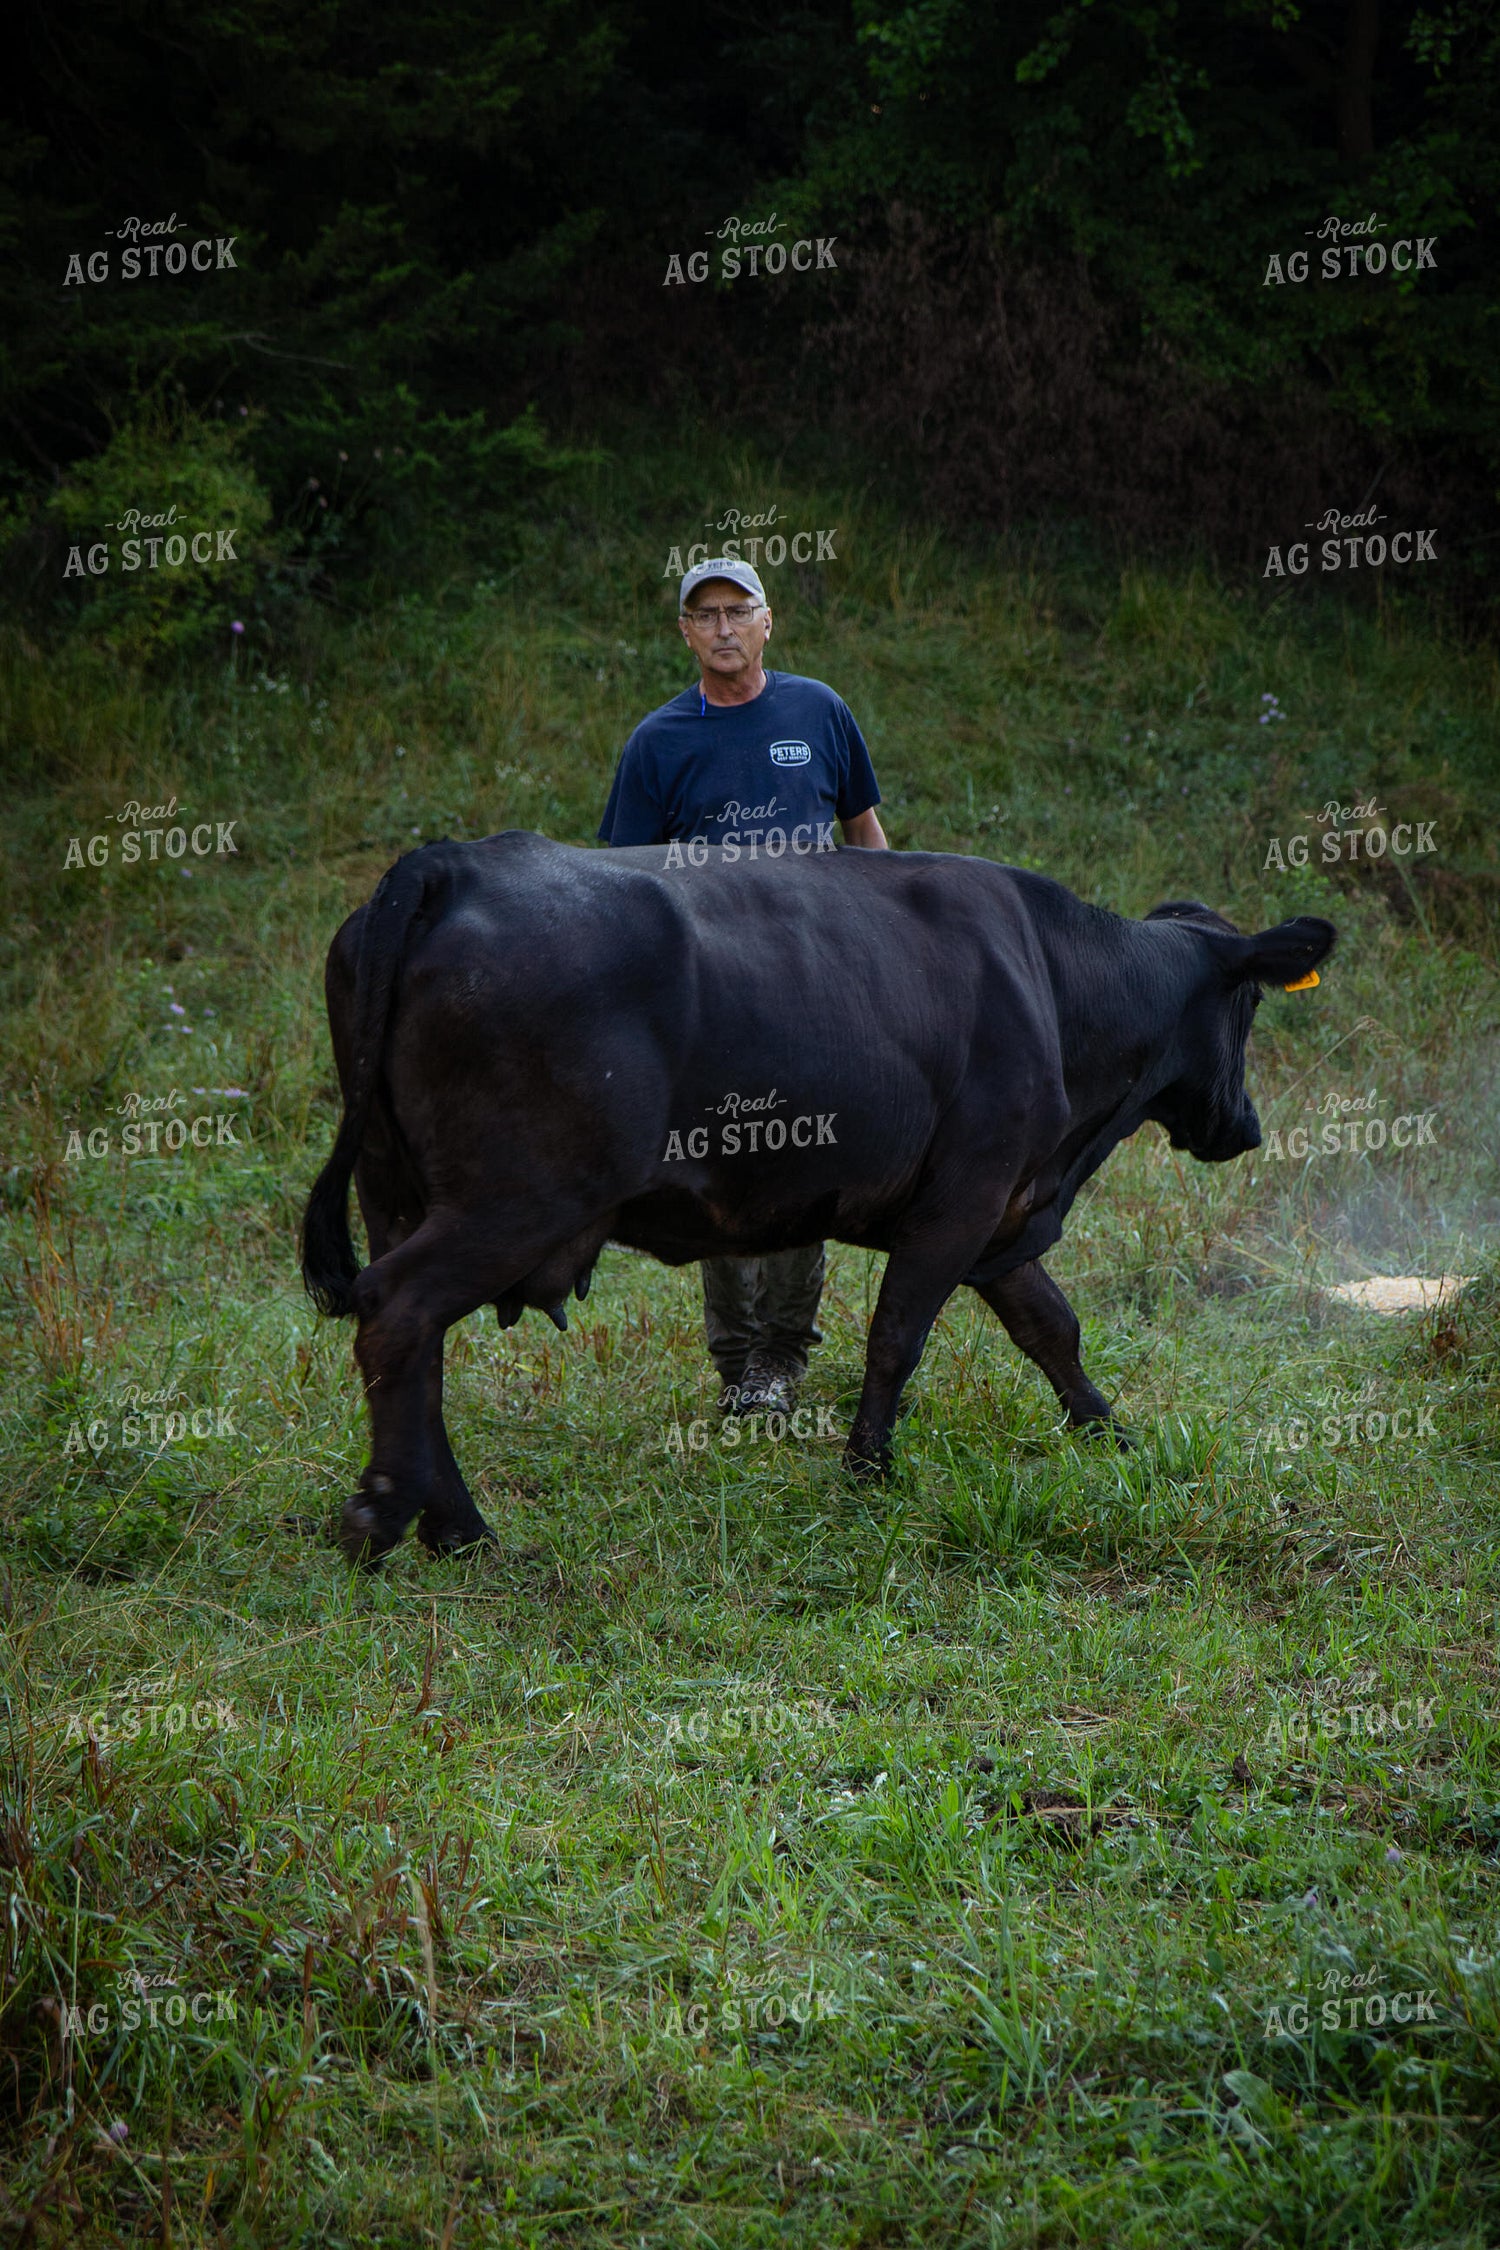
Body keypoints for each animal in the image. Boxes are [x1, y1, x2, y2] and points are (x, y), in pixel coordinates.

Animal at [301, 831, 1336, 1566]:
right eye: (1249, 1005)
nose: (1247, 1127)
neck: (1054, 981)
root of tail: (451, 863)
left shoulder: (998, 1206)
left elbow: (1051, 1325)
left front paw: (1110, 1431)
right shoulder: (966, 1195)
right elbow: (899, 1336)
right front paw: (868, 1470)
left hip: (398, 1190)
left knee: (416, 1344)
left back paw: (454, 1527)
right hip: (518, 1199)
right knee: (398, 1311)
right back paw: (396, 1520)